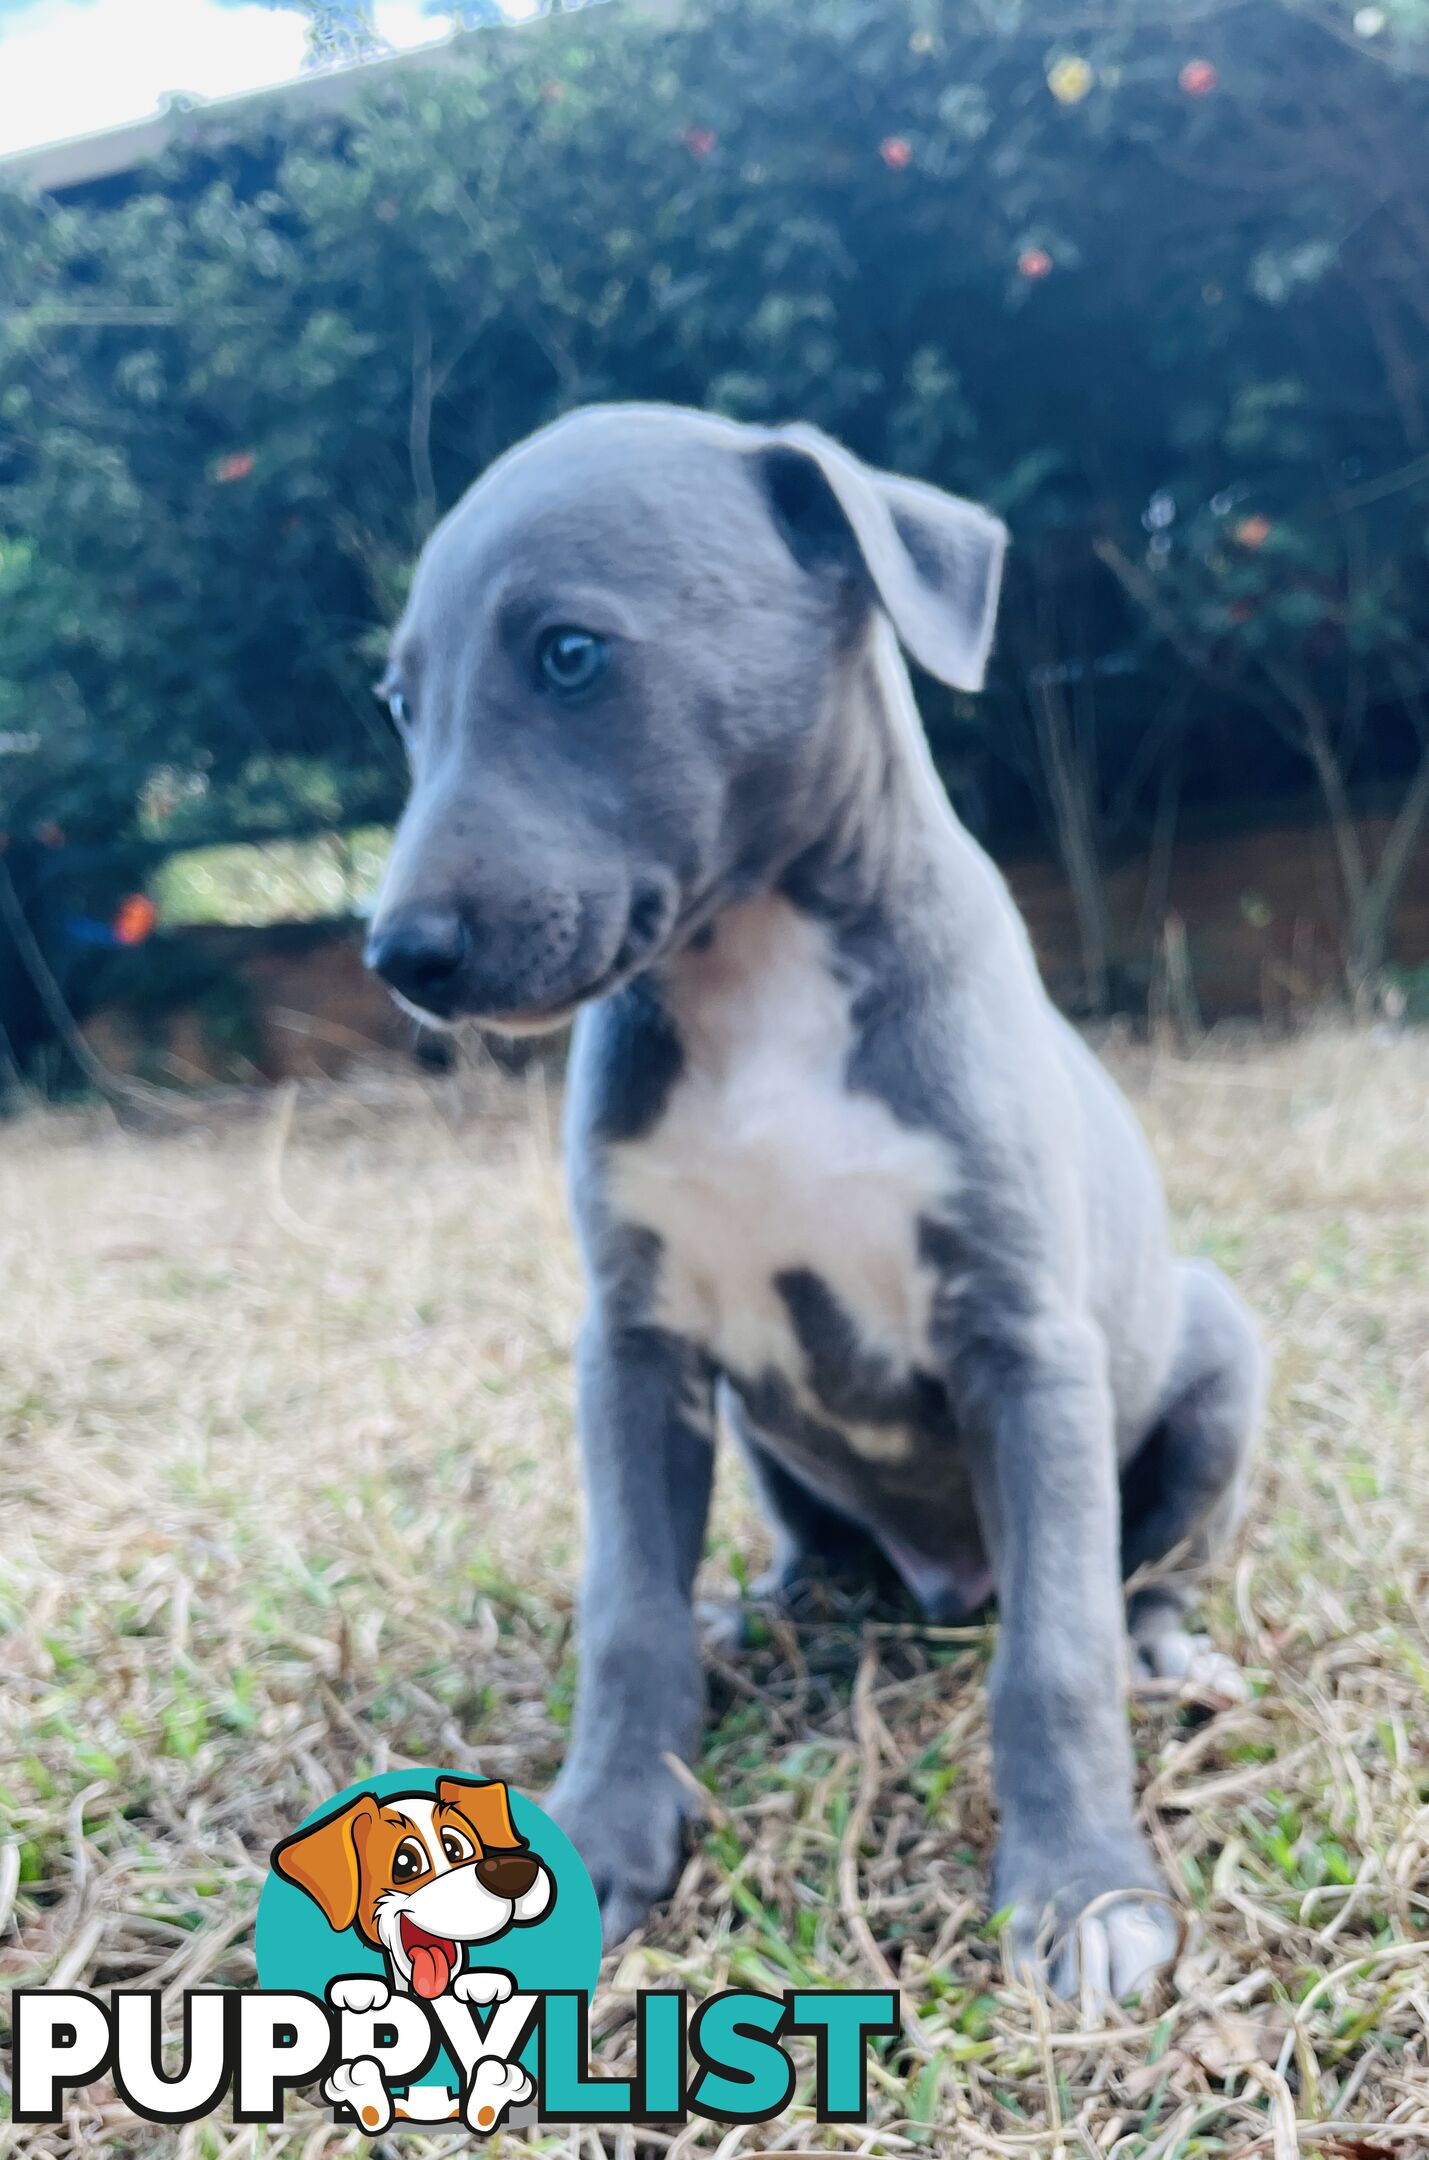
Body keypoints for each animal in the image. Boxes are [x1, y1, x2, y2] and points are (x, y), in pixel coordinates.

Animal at [366, 408, 1269, 2004]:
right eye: (399, 701)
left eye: (570, 654)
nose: (398, 954)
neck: (756, 971)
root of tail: (946, 1581)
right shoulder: (634, 1342)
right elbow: (628, 1613)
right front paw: (602, 1833)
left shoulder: (1022, 1340)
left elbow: (1057, 1650)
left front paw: (1083, 1890)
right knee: (807, 1554)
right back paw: (760, 1605)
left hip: (1215, 1354)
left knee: (1133, 1572)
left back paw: (1165, 1649)